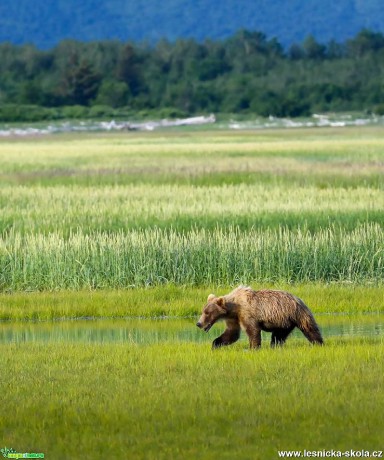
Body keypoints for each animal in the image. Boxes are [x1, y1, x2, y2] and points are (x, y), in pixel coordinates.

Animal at [195, 284, 324, 348]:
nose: (198, 323)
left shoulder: (247, 312)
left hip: (296, 314)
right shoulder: (233, 318)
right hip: (284, 322)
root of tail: (299, 299)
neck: (233, 309)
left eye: (207, 313)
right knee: (278, 336)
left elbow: (252, 330)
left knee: (309, 329)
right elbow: (232, 333)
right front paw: (216, 343)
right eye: (203, 311)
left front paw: (253, 347)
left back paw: (318, 343)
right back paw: (275, 346)